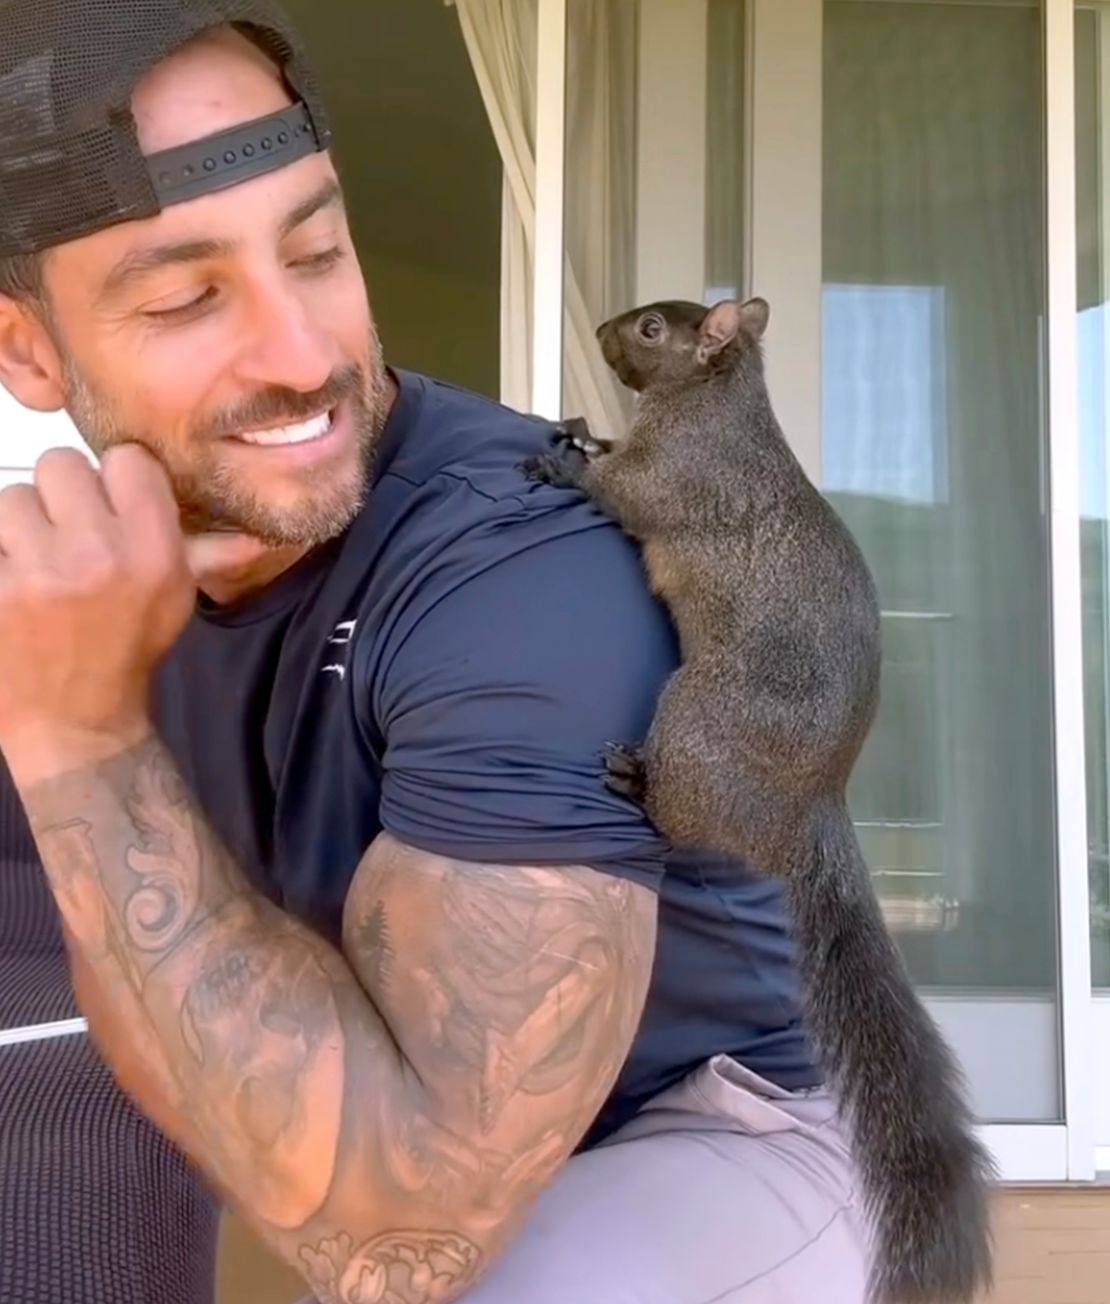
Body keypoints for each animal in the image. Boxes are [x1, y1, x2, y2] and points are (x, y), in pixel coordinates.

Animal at [524, 298, 996, 1304]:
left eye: (653, 330)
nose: (609, 329)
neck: (714, 405)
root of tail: (807, 807)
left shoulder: (678, 481)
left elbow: (623, 492)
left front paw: (563, 460)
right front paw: (580, 426)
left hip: (694, 720)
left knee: (677, 818)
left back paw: (636, 782)